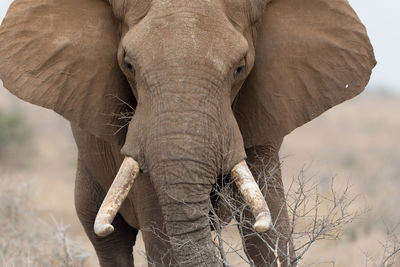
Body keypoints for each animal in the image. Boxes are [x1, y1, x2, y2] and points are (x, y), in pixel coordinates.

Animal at [0, 0, 376, 266]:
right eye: (128, 64)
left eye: (240, 67)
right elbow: (163, 243)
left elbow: (272, 235)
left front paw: (266, 231)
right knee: (109, 241)